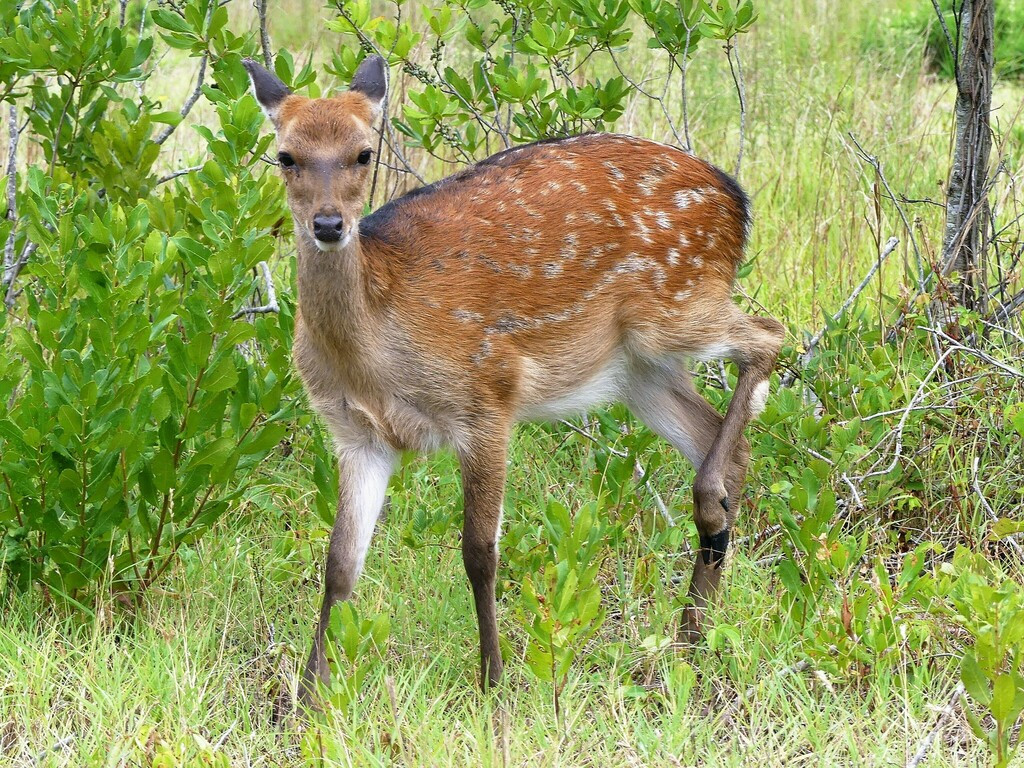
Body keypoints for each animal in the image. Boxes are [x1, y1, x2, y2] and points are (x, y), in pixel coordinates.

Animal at [243, 55, 786, 716]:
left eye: (364, 153)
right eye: (286, 156)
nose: (328, 224)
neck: (375, 347)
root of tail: (736, 197)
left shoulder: (486, 395)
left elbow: (479, 552)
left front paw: (492, 684)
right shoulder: (356, 434)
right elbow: (340, 563)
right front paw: (303, 702)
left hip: (675, 304)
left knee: (770, 336)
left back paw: (703, 538)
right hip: (636, 371)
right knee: (723, 439)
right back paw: (691, 636)